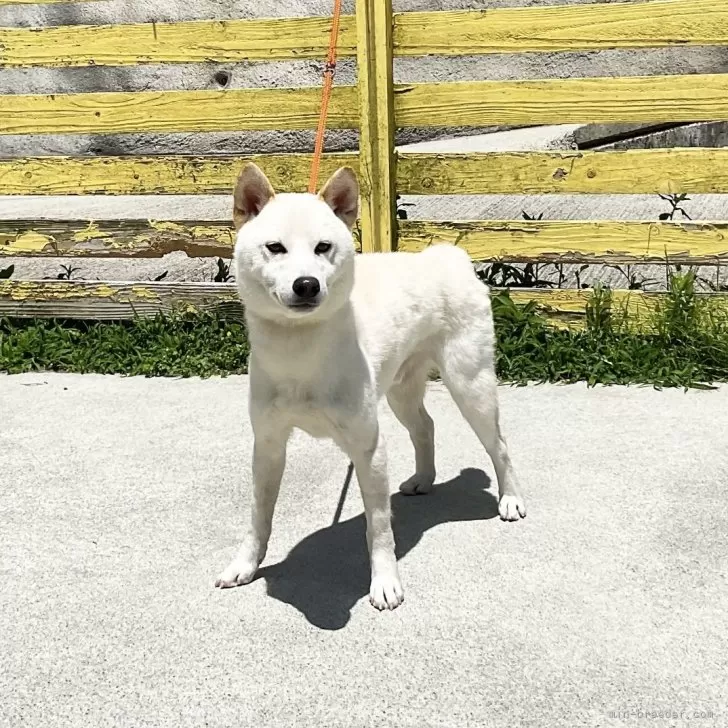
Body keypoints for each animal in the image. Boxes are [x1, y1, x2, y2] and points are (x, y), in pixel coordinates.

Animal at [213, 164, 528, 608]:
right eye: (275, 247)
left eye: (323, 247)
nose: (307, 284)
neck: (300, 353)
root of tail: (446, 257)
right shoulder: (269, 446)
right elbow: (259, 516)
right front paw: (246, 565)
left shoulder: (368, 448)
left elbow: (378, 527)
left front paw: (384, 581)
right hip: (400, 392)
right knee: (425, 427)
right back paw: (424, 479)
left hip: (471, 386)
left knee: (498, 445)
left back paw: (510, 497)